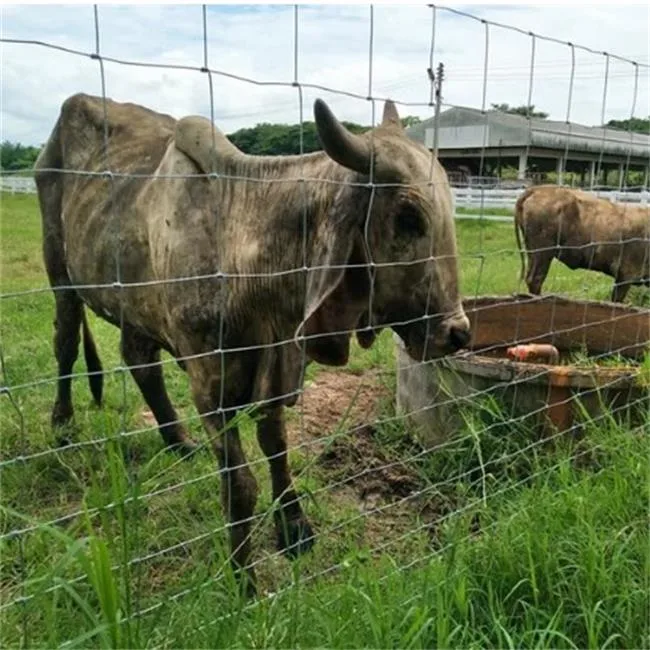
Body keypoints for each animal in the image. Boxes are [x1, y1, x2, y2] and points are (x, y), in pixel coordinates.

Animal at [35, 91, 468, 592]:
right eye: (408, 217)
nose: (457, 332)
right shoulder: (209, 383)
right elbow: (240, 485)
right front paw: (244, 577)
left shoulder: (276, 364)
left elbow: (275, 445)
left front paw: (294, 528)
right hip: (60, 273)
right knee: (66, 342)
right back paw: (63, 425)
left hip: (133, 304)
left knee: (139, 359)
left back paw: (177, 441)